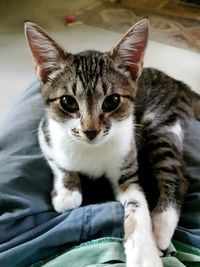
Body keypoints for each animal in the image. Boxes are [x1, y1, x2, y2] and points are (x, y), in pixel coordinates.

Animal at [24, 19, 200, 267]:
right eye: (68, 102)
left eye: (112, 101)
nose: (90, 131)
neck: (91, 150)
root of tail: (176, 82)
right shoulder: (45, 132)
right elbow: (59, 165)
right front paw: (67, 191)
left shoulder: (127, 165)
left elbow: (137, 206)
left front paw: (144, 253)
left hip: (162, 123)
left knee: (178, 174)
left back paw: (161, 228)